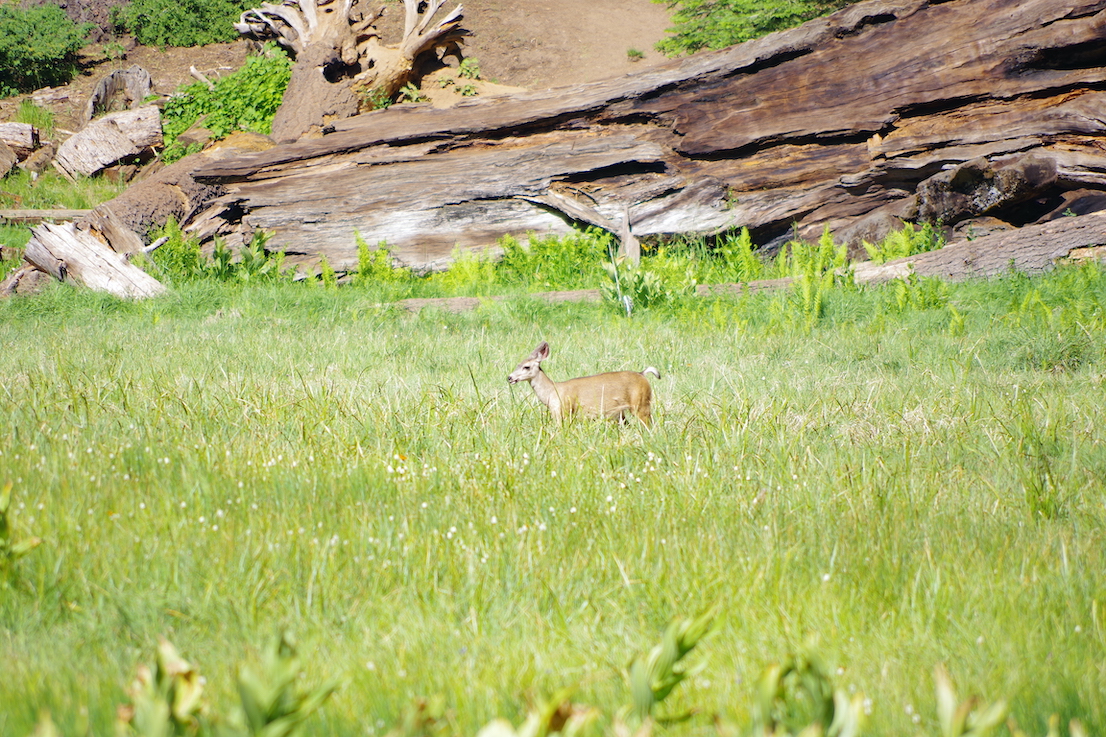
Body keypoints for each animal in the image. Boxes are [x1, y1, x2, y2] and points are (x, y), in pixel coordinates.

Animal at [507, 341, 660, 426]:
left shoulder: (564, 410)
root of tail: (642, 374)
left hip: (641, 403)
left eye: (526, 367)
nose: (509, 377)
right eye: (517, 364)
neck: (552, 392)